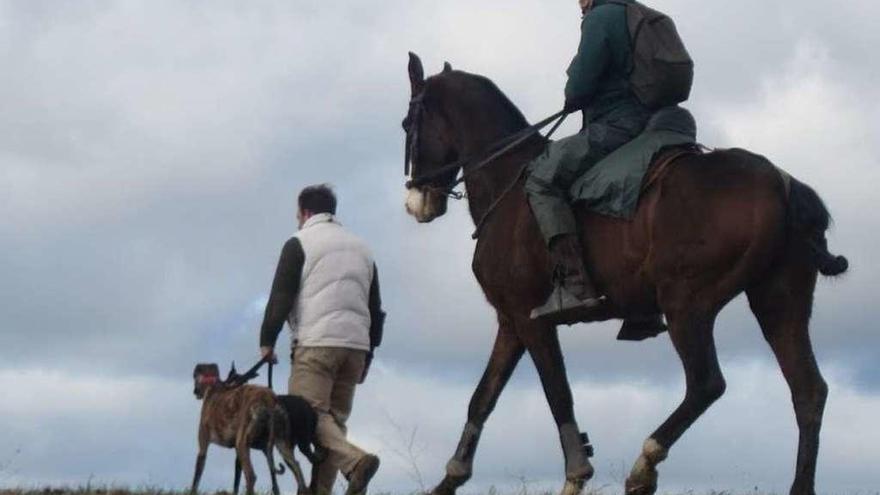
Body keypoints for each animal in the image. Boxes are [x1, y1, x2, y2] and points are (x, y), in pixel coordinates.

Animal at [402, 53, 848, 495]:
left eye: (408, 125)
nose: (415, 202)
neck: (508, 184)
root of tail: (780, 183)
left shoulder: (532, 321)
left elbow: (558, 394)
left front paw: (577, 475)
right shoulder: (510, 322)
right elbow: (482, 398)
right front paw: (449, 480)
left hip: (686, 305)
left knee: (706, 384)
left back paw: (643, 467)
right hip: (778, 303)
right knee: (808, 391)